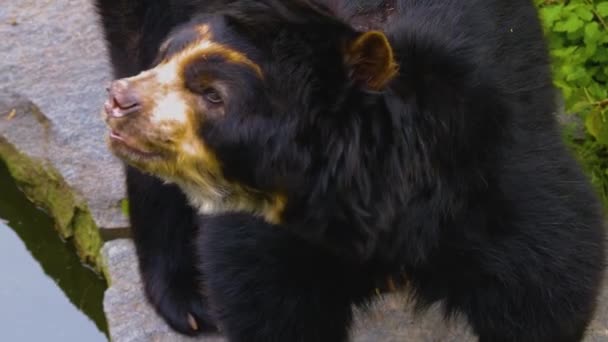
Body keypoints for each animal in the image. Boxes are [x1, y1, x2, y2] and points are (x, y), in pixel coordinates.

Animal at [95, 0, 604, 342]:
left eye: (213, 94)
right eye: (169, 60)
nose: (120, 100)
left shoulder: (495, 176)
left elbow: (546, 277)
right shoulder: (266, 240)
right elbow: (264, 297)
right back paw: (186, 299)